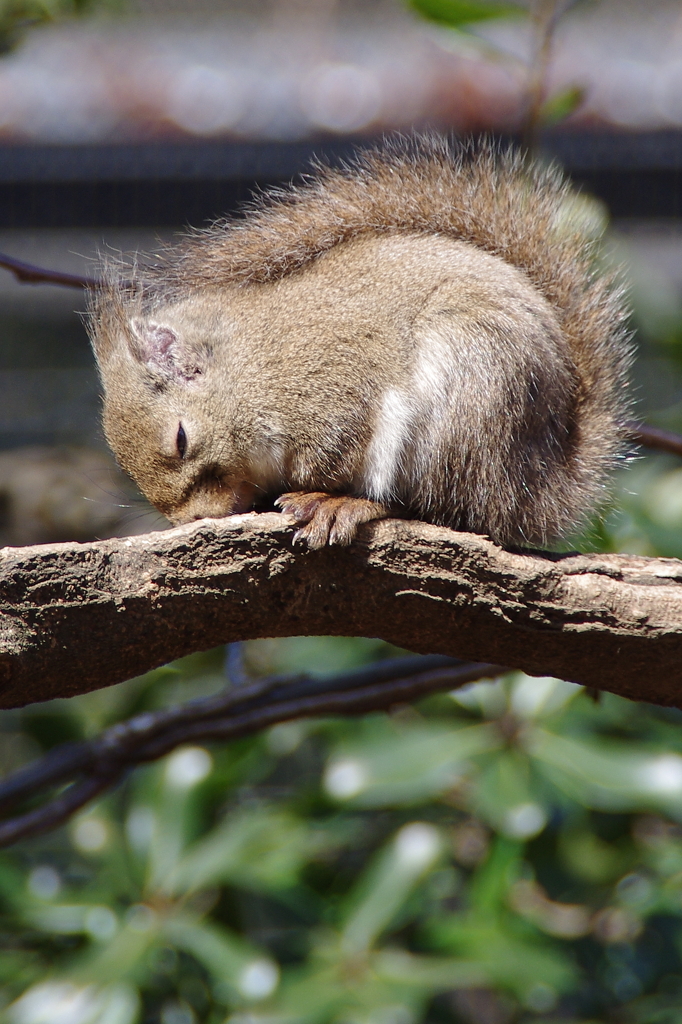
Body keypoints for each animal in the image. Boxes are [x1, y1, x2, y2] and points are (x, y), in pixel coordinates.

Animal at [87, 138, 630, 552]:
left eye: (181, 438)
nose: (197, 520)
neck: (247, 369)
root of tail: (537, 490)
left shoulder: (329, 391)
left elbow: (335, 450)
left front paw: (320, 493)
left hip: (461, 406)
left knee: (438, 507)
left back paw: (346, 503)